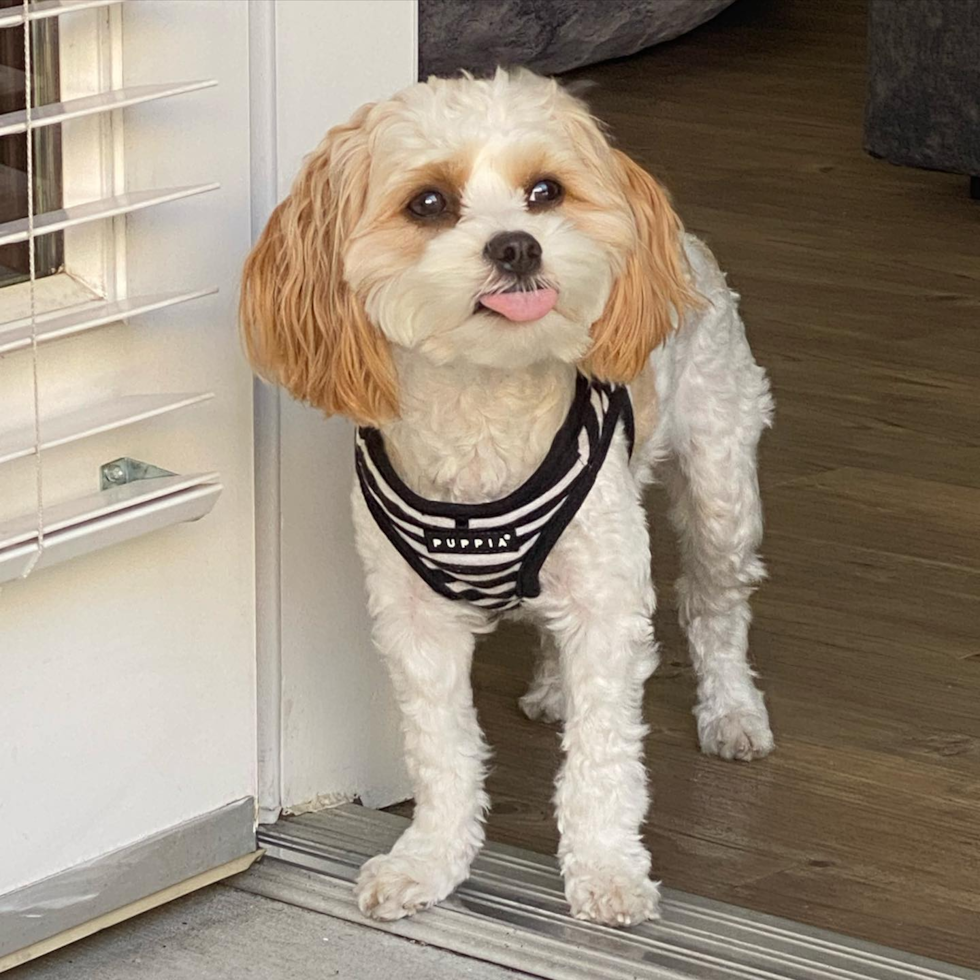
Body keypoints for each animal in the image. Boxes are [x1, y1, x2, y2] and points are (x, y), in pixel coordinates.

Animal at [239, 67, 772, 928]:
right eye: (428, 203)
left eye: (545, 191)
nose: (518, 245)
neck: (483, 408)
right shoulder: (414, 622)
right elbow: (441, 751)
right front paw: (427, 861)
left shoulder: (607, 602)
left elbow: (604, 755)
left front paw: (607, 871)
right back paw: (554, 689)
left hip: (722, 484)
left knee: (715, 604)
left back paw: (731, 711)